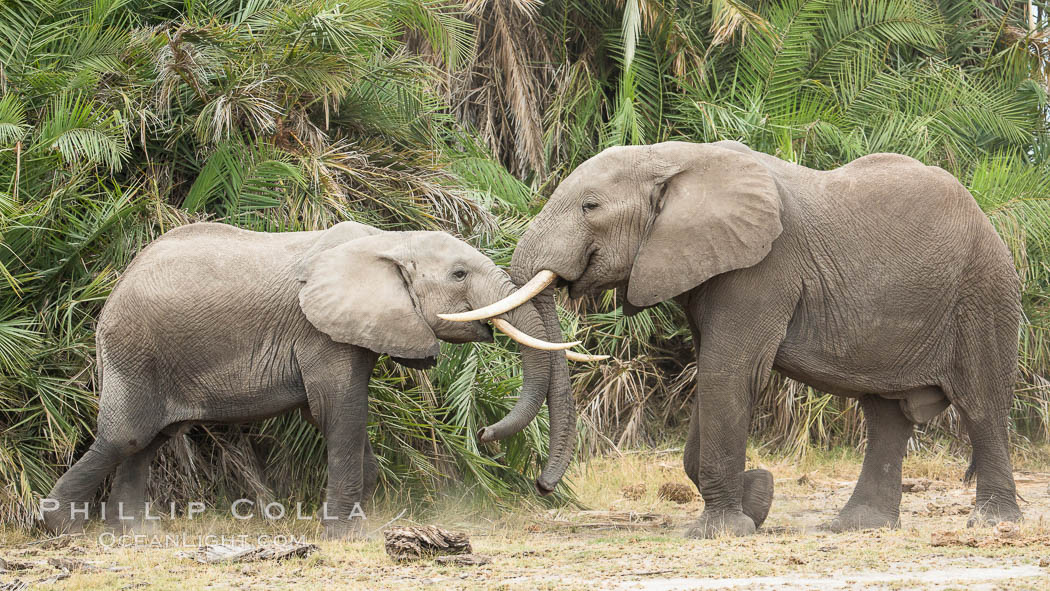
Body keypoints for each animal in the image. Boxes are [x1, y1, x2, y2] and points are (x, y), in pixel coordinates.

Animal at [43, 219, 592, 537]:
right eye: (459, 275)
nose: (484, 434)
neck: (389, 241)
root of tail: (117, 285)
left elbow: (338, 412)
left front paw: (358, 528)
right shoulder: (318, 332)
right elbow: (337, 412)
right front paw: (340, 536)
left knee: (151, 439)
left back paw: (134, 538)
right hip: (134, 347)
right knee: (128, 436)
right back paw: (60, 528)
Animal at [447, 140, 1020, 537]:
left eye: (590, 206)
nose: (542, 485)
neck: (673, 158)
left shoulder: (763, 267)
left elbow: (730, 371)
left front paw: (722, 529)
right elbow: (712, 372)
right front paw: (758, 499)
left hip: (983, 293)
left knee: (981, 403)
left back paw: (992, 523)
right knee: (885, 416)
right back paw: (857, 526)